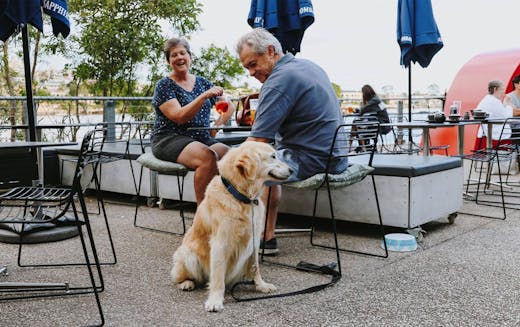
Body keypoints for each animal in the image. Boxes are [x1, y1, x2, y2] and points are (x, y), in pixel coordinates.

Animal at [171, 141, 292, 312]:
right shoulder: (220, 243)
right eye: (273, 156)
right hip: (187, 255)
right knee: (182, 277)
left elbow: (256, 267)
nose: (292, 170)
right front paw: (215, 300)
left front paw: (261, 286)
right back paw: (187, 283)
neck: (241, 197)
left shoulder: (254, 241)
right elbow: (218, 276)